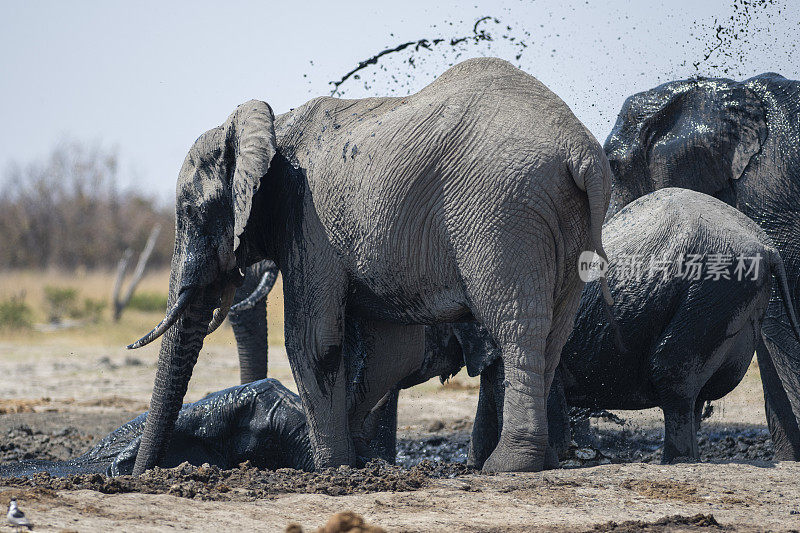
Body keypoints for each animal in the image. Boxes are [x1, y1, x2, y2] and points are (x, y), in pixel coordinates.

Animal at [126, 58, 612, 474]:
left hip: (503, 213)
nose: (145, 474)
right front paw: (355, 461)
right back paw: (544, 459)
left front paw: (328, 467)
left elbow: (312, 340)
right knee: (555, 330)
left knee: (516, 326)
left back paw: (508, 465)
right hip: (563, 217)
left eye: (192, 213)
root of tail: (580, 152)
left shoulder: (307, 220)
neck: (269, 127)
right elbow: (389, 352)